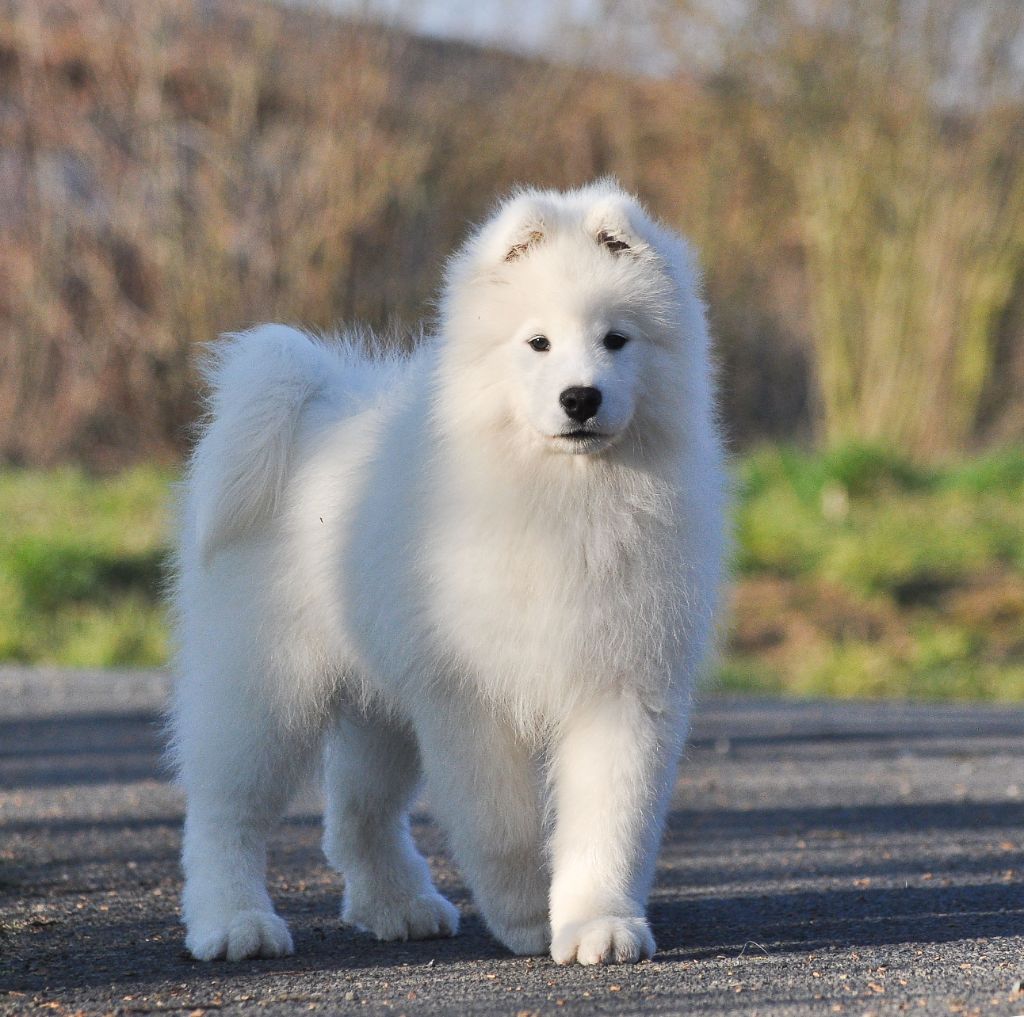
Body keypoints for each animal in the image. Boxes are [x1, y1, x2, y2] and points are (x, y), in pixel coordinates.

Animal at [167, 180, 729, 966]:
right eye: (537, 343)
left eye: (617, 339)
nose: (580, 398)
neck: (563, 496)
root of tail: (310, 412)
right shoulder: (468, 696)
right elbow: (502, 825)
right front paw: (526, 918)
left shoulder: (621, 686)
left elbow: (610, 823)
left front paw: (597, 925)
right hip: (262, 685)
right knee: (226, 812)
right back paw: (234, 923)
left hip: (379, 704)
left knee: (357, 815)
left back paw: (400, 907)